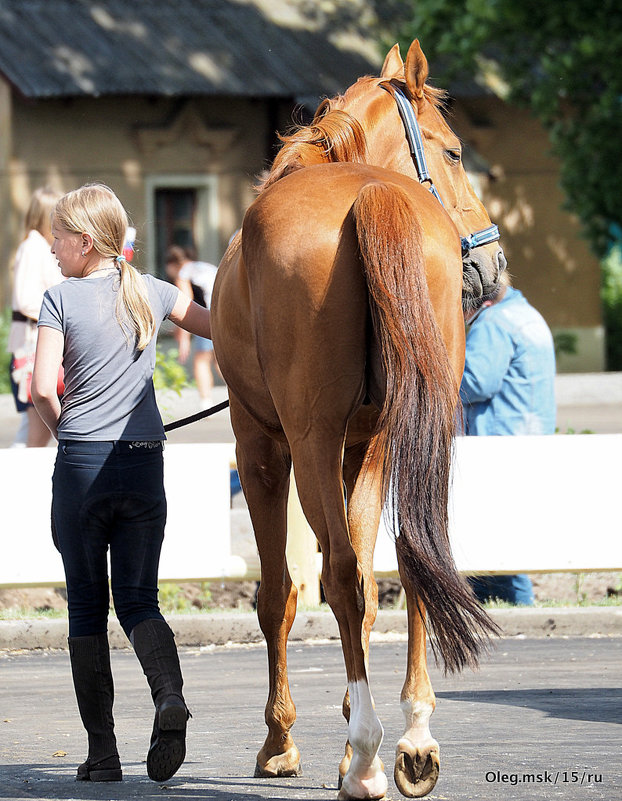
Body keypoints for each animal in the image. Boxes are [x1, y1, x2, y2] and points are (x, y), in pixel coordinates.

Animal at [212, 39, 504, 800]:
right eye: (454, 152)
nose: (493, 266)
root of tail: (372, 194)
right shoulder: (362, 445)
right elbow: (373, 588)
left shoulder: (263, 448)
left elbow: (282, 592)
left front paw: (282, 740)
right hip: (414, 431)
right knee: (418, 555)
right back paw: (412, 741)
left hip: (310, 440)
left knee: (339, 572)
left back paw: (370, 754)